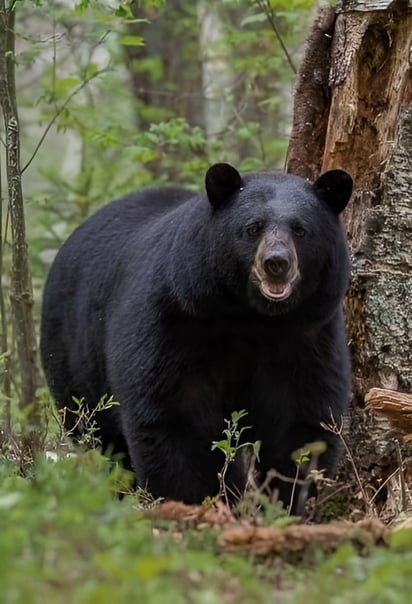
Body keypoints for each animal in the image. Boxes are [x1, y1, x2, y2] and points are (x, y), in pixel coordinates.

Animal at [40, 163, 352, 508]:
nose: (276, 262)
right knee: (100, 436)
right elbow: (175, 417)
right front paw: (200, 501)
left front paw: (284, 501)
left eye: (300, 229)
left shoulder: (307, 334)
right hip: (73, 356)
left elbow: (300, 418)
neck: (253, 318)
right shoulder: (175, 320)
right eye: (252, 227)